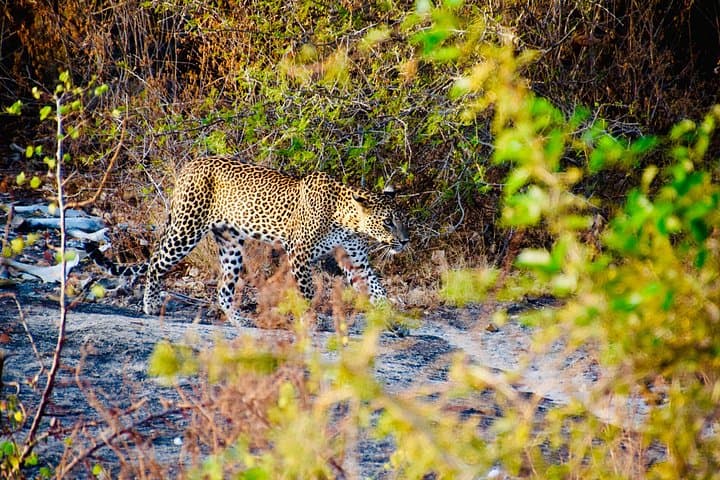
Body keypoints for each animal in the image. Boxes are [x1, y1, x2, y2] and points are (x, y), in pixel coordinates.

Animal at [89, 155, 410, 328]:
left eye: (400, 219)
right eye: (388, 222)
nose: (405, 241)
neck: (347, 220)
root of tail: (190, 165)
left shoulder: (356, 259)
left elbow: (377, 288)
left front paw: (393, 322)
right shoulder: (299, 253)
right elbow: (307, 292)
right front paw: (311, 322)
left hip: (230, 244)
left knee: (223, 288)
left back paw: (240, 322)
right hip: (187, 228)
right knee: (156, 262)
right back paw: (151, 305)